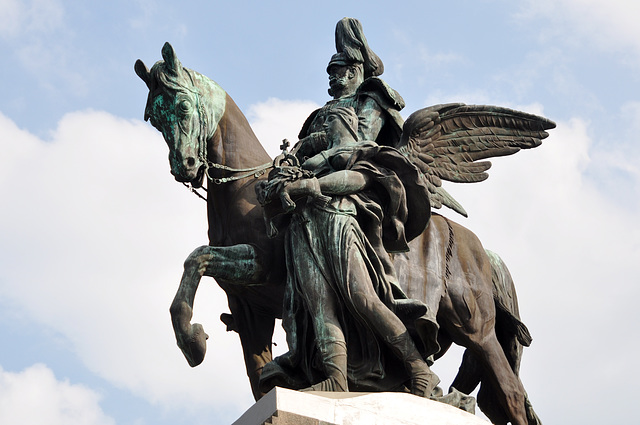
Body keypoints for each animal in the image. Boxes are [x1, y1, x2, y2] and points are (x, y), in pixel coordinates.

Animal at [135, 42, 540, 424]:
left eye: (183, 107)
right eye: (154, 118)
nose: (185, 166)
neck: (245, 189)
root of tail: (483, 250)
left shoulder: (261, 265)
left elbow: (198, 258)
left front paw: (192, 341)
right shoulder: (247, 304)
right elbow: (253, 368)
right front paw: (195, 340)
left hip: (475, 328)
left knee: (511, 393)